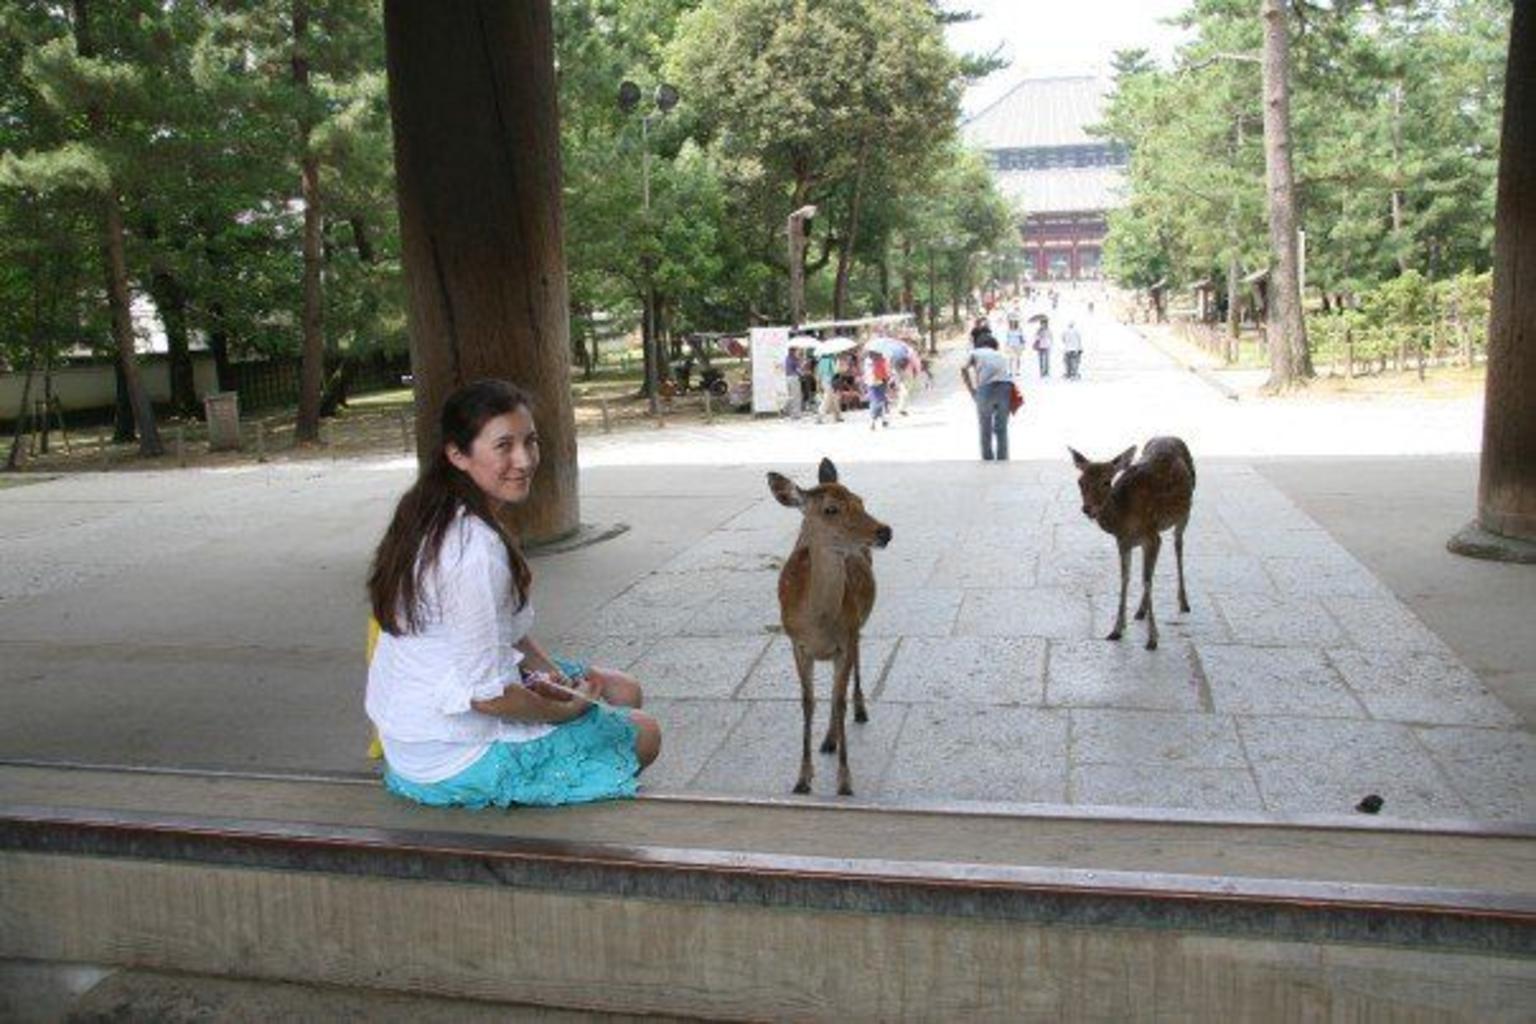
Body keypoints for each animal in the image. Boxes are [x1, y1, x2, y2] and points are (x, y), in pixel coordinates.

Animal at [764, 457, 890, 798]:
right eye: (831, 509)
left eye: (860, 500)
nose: (885, 531)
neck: (818, 624)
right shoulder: (796, 644)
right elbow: (808, 703)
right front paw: (802, 780)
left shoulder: (844, 641)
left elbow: (838, 700)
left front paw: (845, 783)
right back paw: (829, 740)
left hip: (858, 626)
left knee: (852, 673)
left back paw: (858, 713)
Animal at [1075, 436, 1191, 654]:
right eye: (1080, 482)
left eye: (1106, 481)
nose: (1088, 509)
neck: (1124, 519)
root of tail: (1171, 436)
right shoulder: (1123, 542)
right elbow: (1126, 578)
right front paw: (1116, 630)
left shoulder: (1152, 535)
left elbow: (1146, 580)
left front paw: (1152, 639)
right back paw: (1140, 610)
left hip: (1185, 514)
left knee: (1178, 546)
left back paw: (1184, 603)